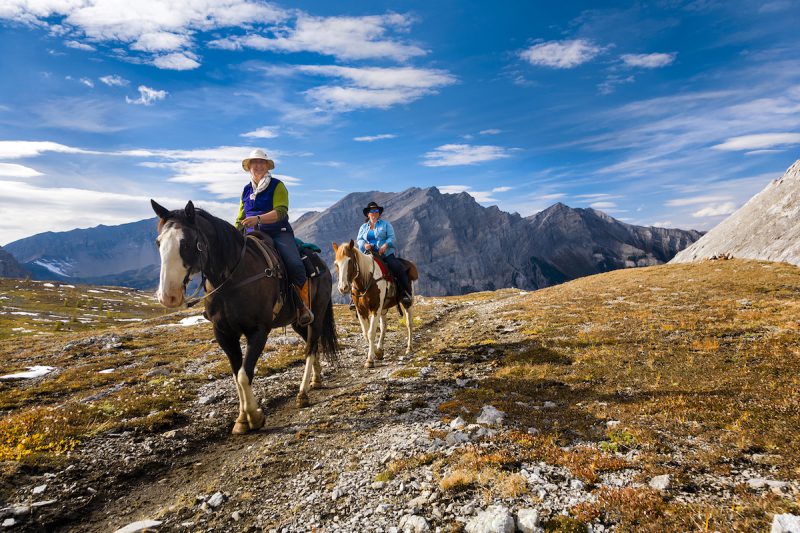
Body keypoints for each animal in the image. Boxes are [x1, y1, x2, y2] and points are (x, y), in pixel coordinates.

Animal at [152, 200, 336, 432]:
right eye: (158, 243)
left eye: (186, 243)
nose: (168, 296)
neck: (232, 279)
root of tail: (321, 263)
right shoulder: (223, 334)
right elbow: (235, 374)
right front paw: (241, 420)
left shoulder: (258, 331)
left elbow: (243, 374)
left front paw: (254, 417)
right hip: (298, 321)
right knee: (312, 344)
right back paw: (316, 379)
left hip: (317, 313)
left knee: (310, 347)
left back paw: (302, 394)